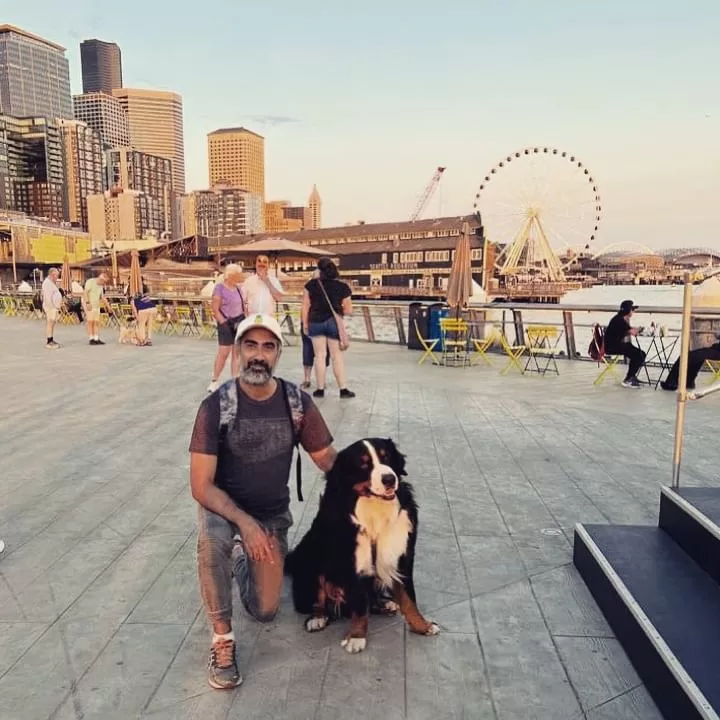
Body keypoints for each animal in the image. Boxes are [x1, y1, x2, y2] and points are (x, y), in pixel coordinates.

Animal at [286, 438, 438, 652]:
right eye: (363, 464)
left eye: (386, 457)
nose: (389, 479)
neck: (376, 509)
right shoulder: (353, 562)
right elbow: (359, 604)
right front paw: (357, 637)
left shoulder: (401, 557)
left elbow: (409, 598)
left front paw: (422, 626)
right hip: (312, 559)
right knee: (318, 600)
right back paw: (317, 618)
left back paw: (385, 604)